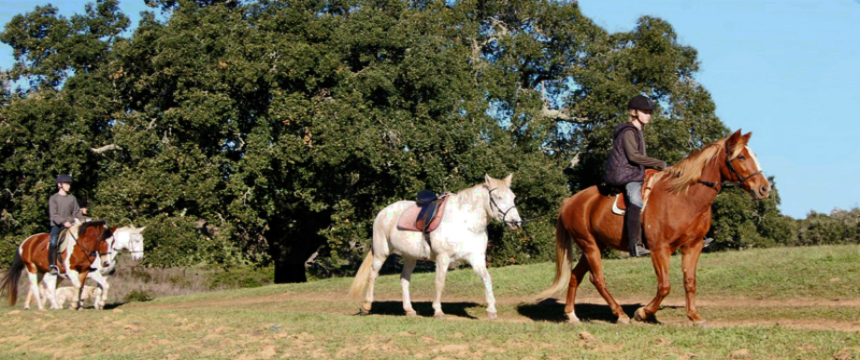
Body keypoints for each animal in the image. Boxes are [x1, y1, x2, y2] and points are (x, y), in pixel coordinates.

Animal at [350, 174, 524, 318]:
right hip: (381, 252)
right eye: (498, 197)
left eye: (513, 197)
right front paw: (438, 311)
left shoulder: (477, 259)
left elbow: (486, 279)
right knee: (373, 275)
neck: (465, 223)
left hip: (410, 257)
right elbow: (440, 283)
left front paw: (491, 310)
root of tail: (383, 212)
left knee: (404, 279)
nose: (516, 223)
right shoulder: (443, 258)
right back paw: (366, 305)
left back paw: (409, 310)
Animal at [536, 130, 772, 326]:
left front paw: (694, 317)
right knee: (597, 279)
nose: (764, 188)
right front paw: (642, 313)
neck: (684, 198)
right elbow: (665, 285)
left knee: (576, 275)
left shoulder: (693, 246)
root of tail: (570, 201)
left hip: (596, 246)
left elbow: (690, 281)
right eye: (741, 157)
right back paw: (621, 315)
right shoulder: (660, 249)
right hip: (590, 245)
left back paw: (571, 315)